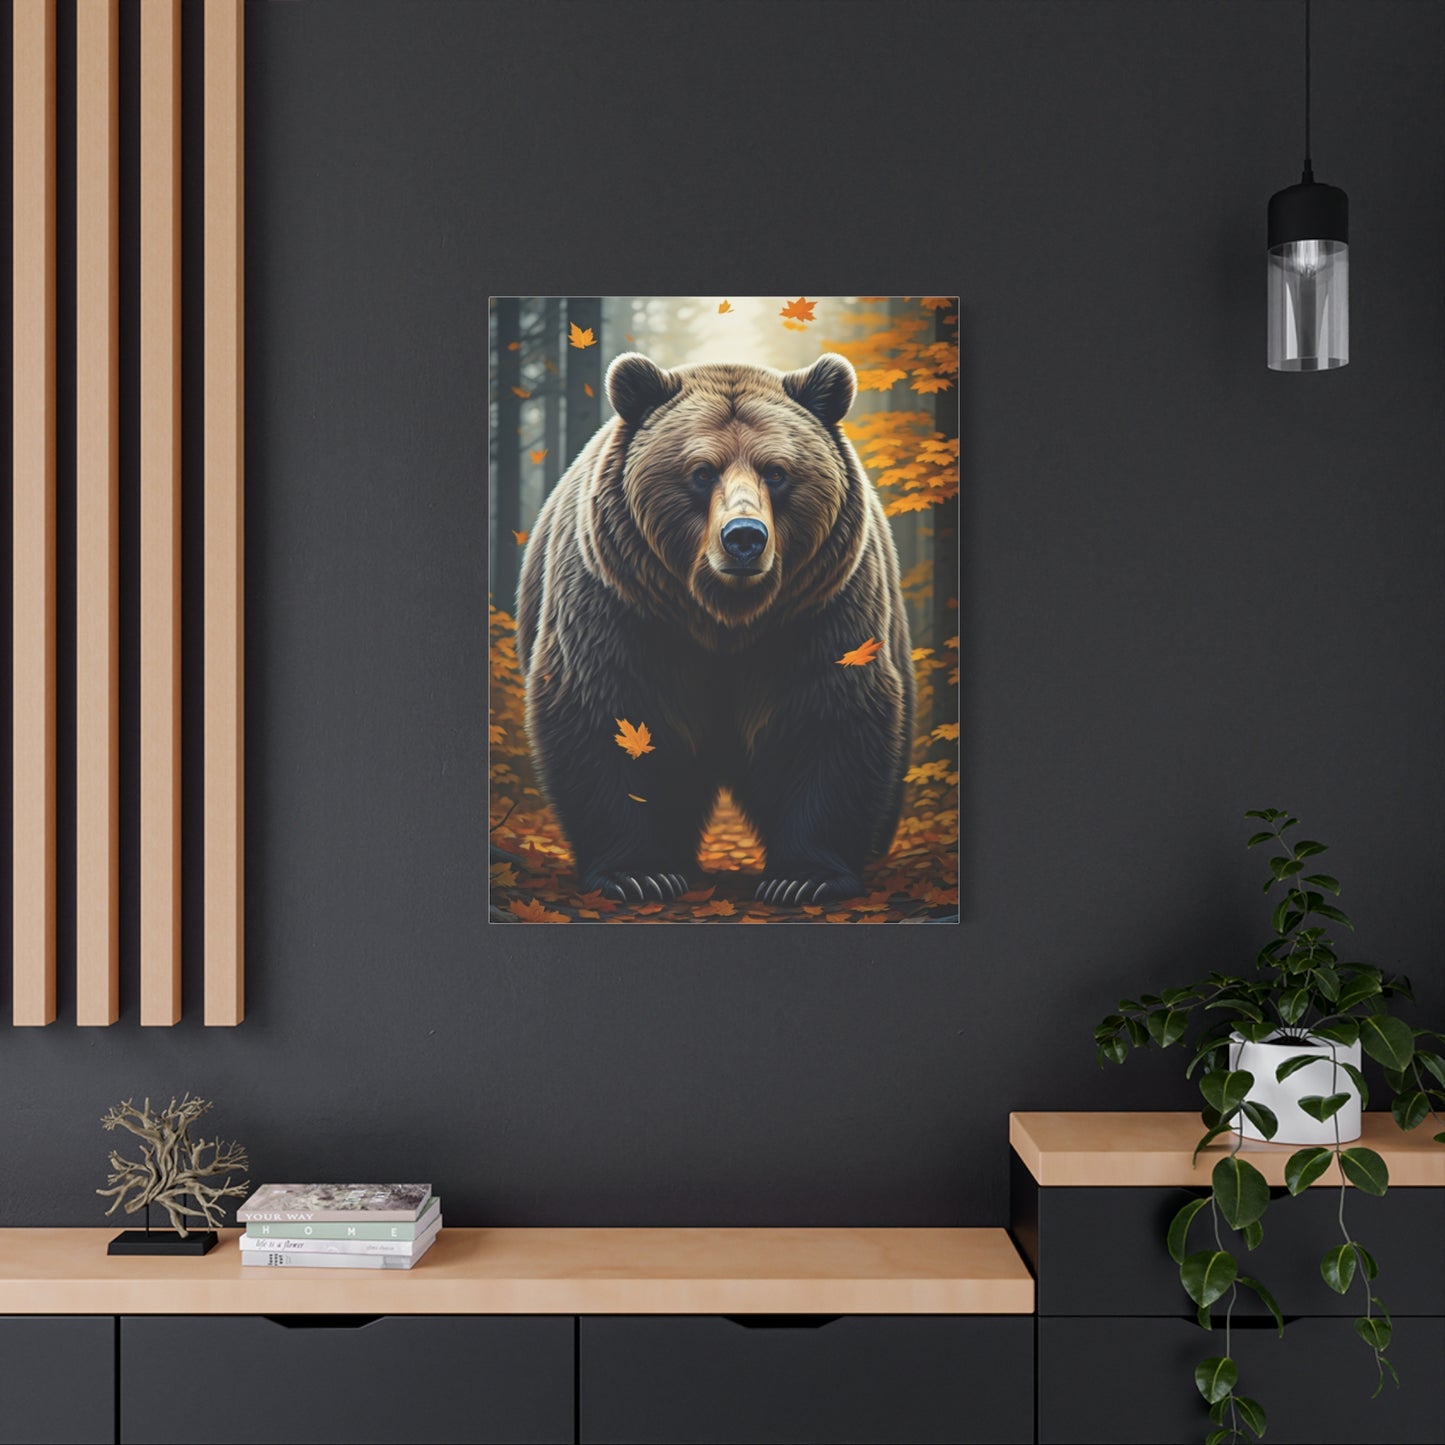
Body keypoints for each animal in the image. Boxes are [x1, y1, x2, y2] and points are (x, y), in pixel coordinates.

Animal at [514, 351, 914, 906]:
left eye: (776, 471)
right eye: (702, 471)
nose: (744, 537)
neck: (723, 619)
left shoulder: (821, 611)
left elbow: (829, 718)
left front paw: (803, 877)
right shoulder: (621, 607)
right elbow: (608, 715)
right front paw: (639, 873)